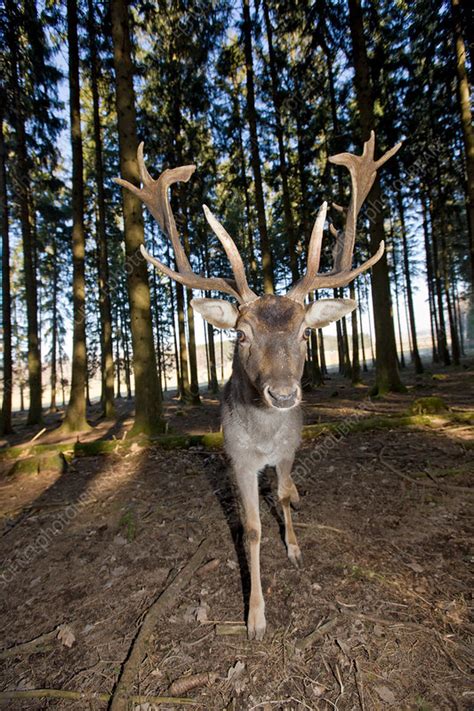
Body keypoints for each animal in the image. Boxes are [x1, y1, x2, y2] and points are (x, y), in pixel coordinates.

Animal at [115, 131, 400, 644]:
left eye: (305, 332)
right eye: (241, 335)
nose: (284, 395)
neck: (266, 439)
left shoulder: (289, 446)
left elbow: (283, 496)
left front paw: (295, 549)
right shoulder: (238, 458)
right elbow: (249, 529)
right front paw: (255, 617)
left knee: (286, 490)